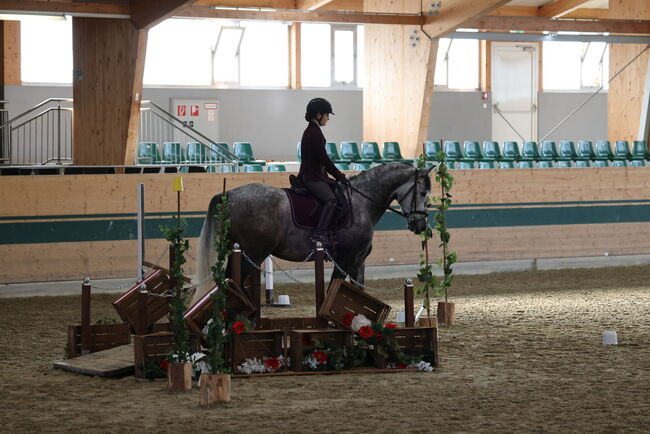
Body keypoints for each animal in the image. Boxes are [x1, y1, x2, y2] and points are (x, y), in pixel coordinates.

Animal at [192, 161, 436, 304]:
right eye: (423, 192)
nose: (421, 226)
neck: (361, 202)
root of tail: (230, 195)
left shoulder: (358, 262)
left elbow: (360, 292)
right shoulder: (345, 260)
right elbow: (333, 292)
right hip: (252, 253)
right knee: (233, 282)